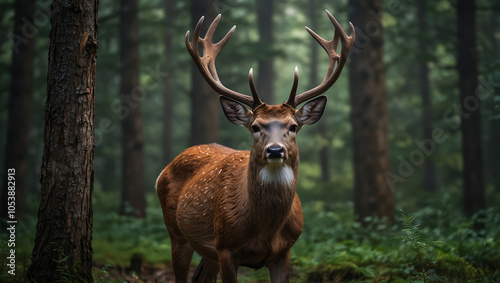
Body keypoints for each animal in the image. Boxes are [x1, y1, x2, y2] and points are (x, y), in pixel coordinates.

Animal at [156, 10, 356, 282]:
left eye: (293, 126)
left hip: (208, 253)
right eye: (255, 126)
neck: (265, 231)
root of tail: (164, 169)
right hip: (177, 233)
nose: (275, 150)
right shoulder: (226, 247)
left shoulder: (285, 252)